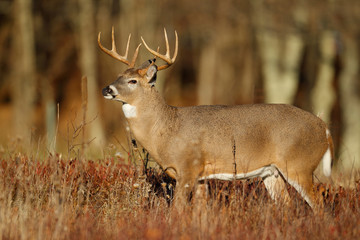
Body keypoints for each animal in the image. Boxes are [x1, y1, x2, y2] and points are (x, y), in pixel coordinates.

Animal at [98, 27, 334, 209]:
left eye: (133, 81)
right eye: (118, 76)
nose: (106, 89)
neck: (166, 128)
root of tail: (324, 128)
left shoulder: (188, 168)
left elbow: (178, 211)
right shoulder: (202, 177)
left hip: (299, 165)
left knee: (320, 206)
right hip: (272, 172)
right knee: (288, 205)